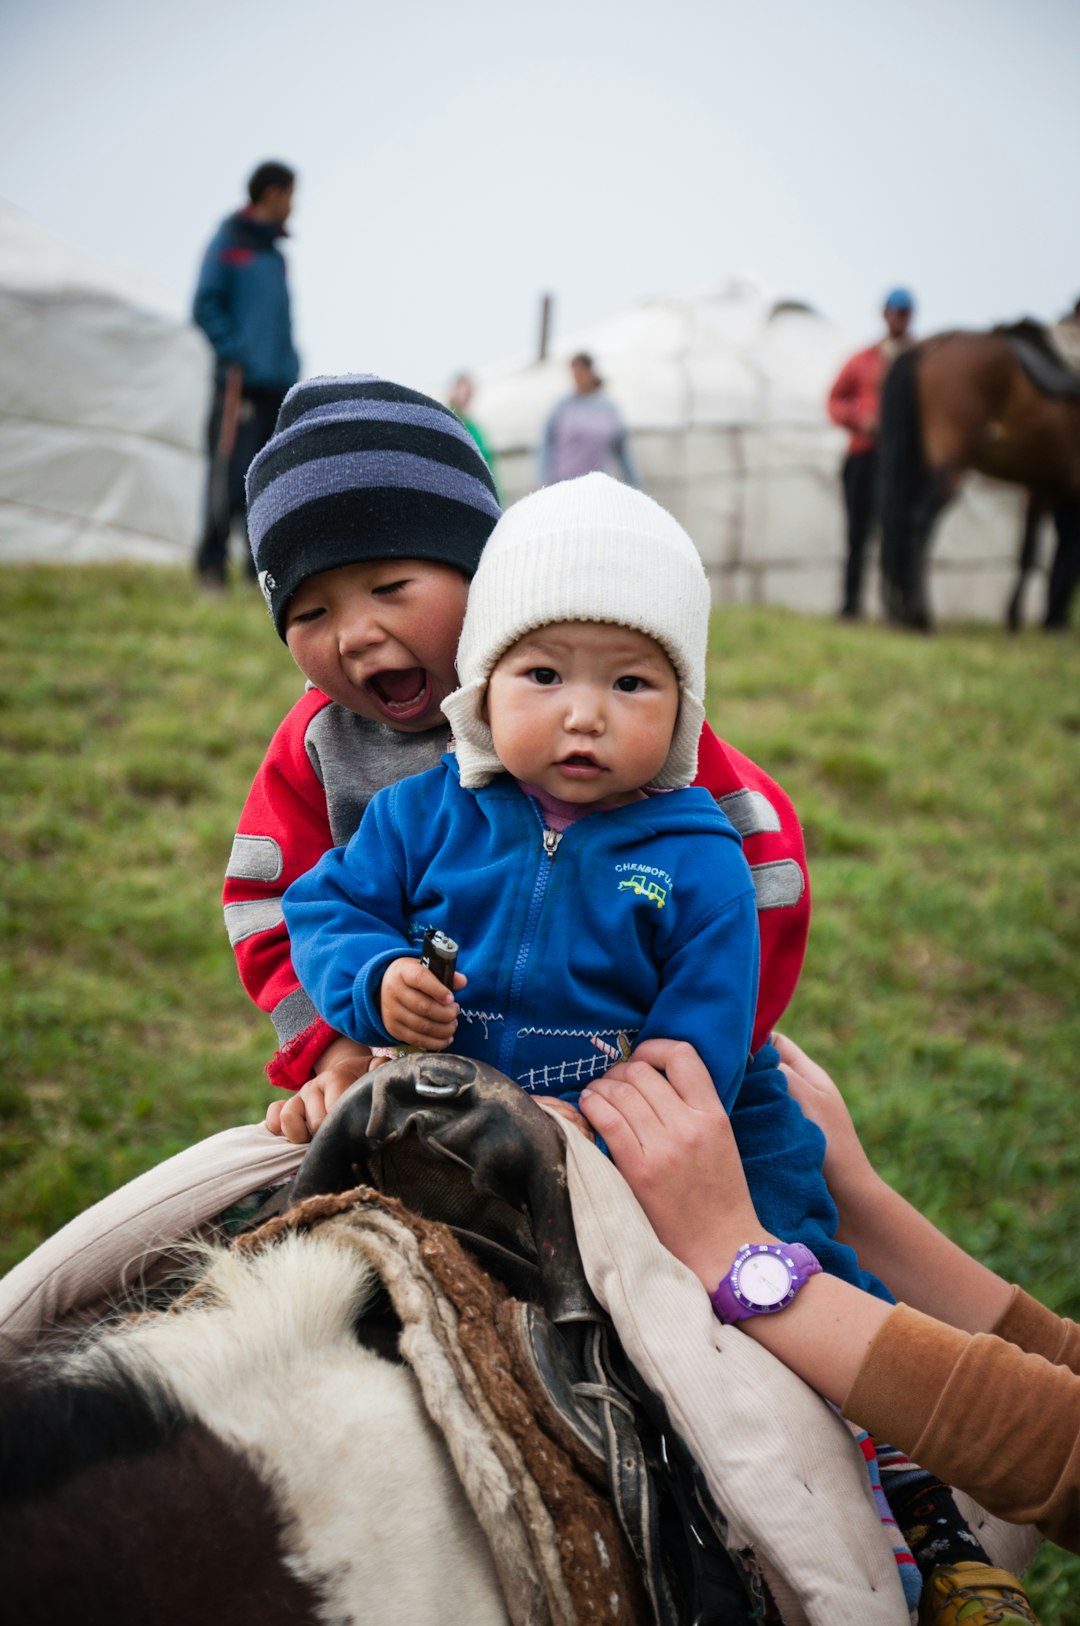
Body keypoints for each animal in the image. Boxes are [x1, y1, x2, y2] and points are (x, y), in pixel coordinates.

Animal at [878, 323, 1080, 627]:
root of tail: (932, 345)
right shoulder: (1054, 486)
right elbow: (1052, 552)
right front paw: (1038, 618)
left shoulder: (1039, 485)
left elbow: (1031, 551)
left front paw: (1021, 616)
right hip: (950, 462)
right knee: (918, 520)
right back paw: (920, 615)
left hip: (915, 458)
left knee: (896, 519)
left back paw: (899, 610)